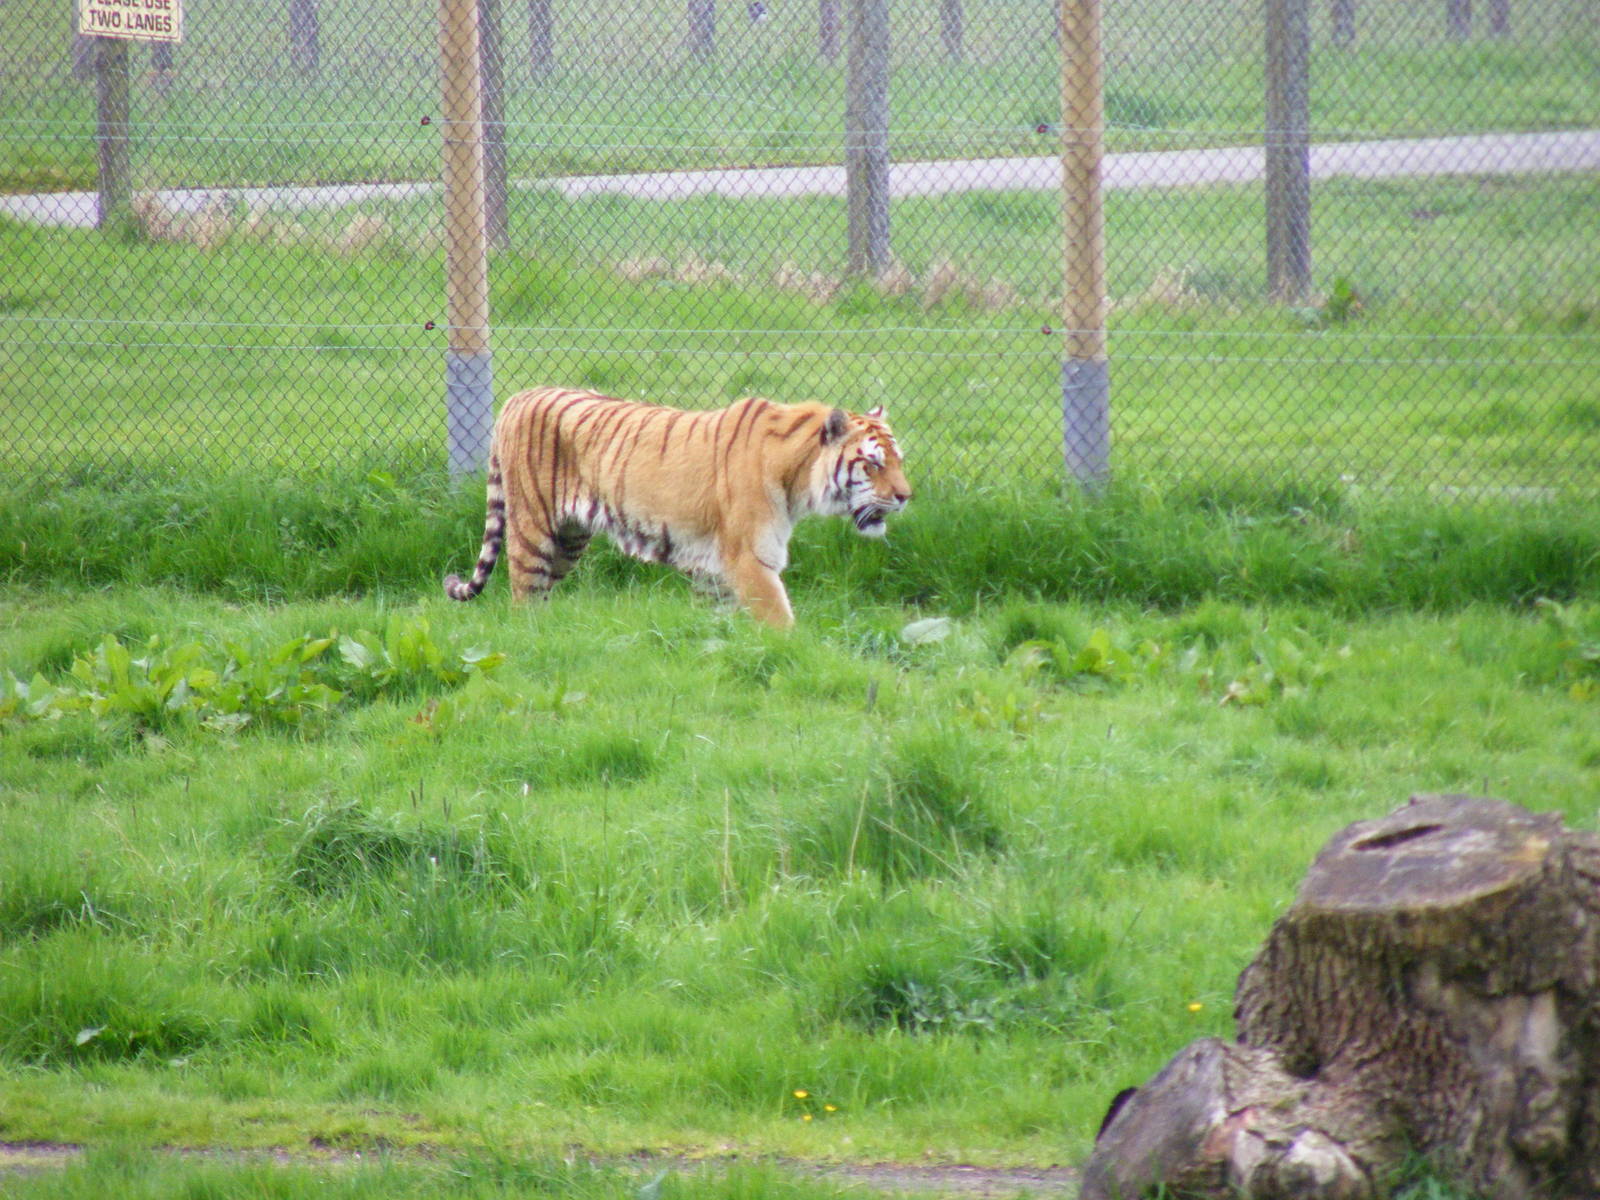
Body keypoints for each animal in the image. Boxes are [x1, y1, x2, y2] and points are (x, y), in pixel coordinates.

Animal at [443, 386, 911, 628]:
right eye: (873, 463)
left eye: (899, 459)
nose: (906, 497)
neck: (797, 477)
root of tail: (519, 396)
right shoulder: (752, 558)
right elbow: (780, 621)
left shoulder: (715, 571)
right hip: (533, 530)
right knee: (522, 596)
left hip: (569, 540)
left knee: (540, 595)